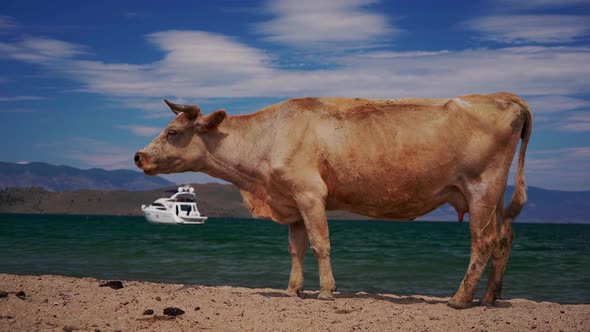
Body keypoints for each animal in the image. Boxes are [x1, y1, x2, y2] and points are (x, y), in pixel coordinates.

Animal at [136, 91, 536, 308]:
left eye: (173, 132)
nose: (138, 156)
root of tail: (503, 97)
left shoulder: (310, 193)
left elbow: (320, 243)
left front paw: (326, 292)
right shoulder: (291, 201)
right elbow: (296, 248)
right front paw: (293, 290)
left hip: (481, 187)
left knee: (483, 241)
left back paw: (460, 299)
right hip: (492, 196)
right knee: (503, 238)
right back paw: (489, 298)